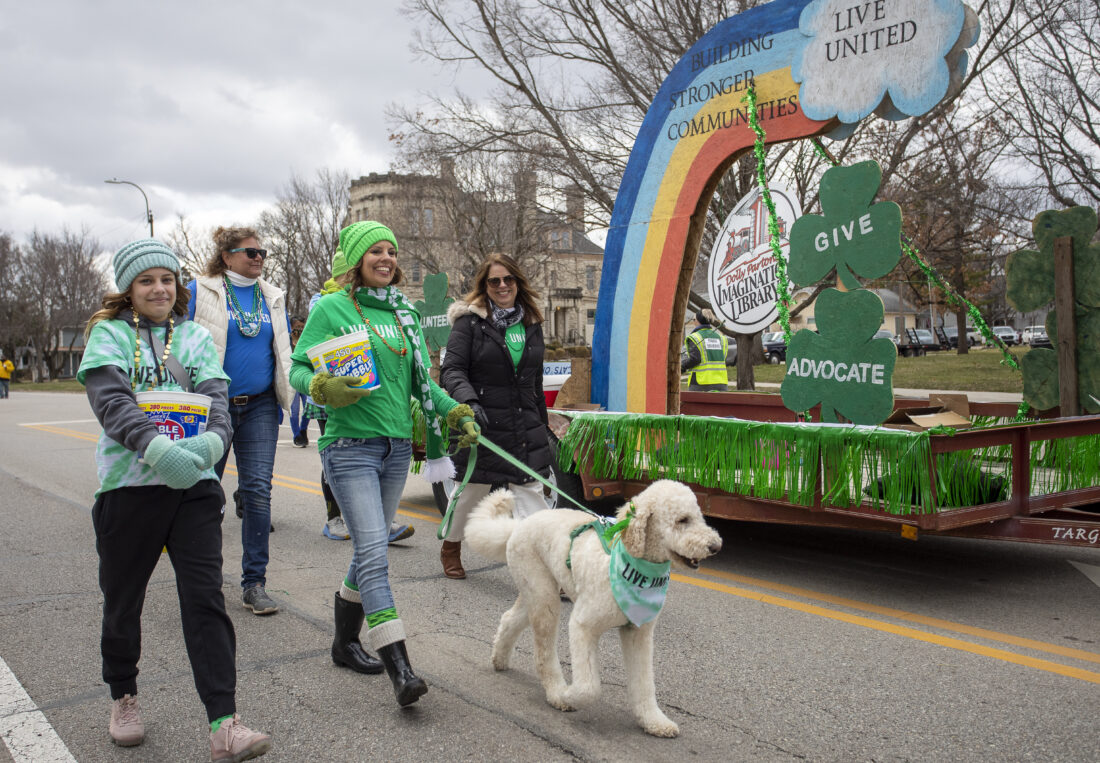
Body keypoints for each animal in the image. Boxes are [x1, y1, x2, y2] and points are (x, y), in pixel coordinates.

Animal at [464, 481, 721, 738]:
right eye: (682, 520)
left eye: (699, 516)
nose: (716, 546)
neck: (632, 562)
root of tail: (519, 525)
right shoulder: (583, 625)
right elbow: (589, 688)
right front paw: (569, 696)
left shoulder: (639, 633)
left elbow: (644, 683)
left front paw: (654, 721)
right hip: (544, 597)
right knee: (543, 652)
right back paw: (556, 693)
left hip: (535, 592)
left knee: (510, 619)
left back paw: (500, 660)